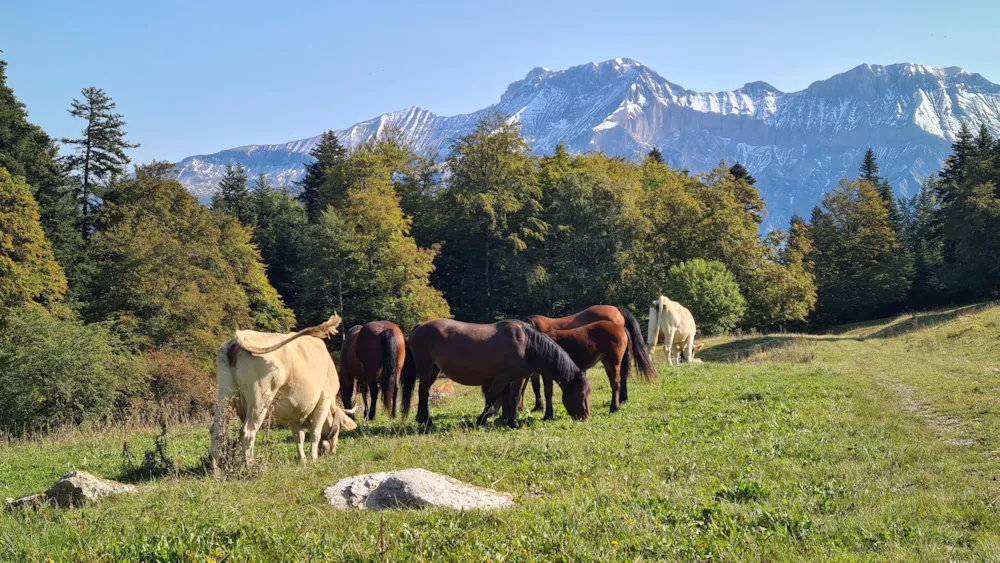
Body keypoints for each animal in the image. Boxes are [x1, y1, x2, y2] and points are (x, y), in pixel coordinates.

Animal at [209, 316, 358, 470]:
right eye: (339, 429)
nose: (331, 452)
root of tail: (238, 338)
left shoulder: (293, 411)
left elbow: (299, 435)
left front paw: (302, 460)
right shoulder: (324, 400)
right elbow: (315, 433)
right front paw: (313, 459)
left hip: (224, 393)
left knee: (217, 430)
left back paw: (215, 470)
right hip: (260, 399)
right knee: (248, 432)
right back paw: (250, 467)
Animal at [398, 320, 584, 430]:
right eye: (582, 394)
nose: (585, 416)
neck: (525, 343)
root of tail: (419, 327)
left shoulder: (516, 378)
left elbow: (512, 399)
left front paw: (511, 421)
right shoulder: (502, 378)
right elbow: (492, 398)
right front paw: (482, 420)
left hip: (434, 371)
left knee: (424, 393)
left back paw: (422, 419)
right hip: (425, 369)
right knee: (423, 393)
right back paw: (426, 420)